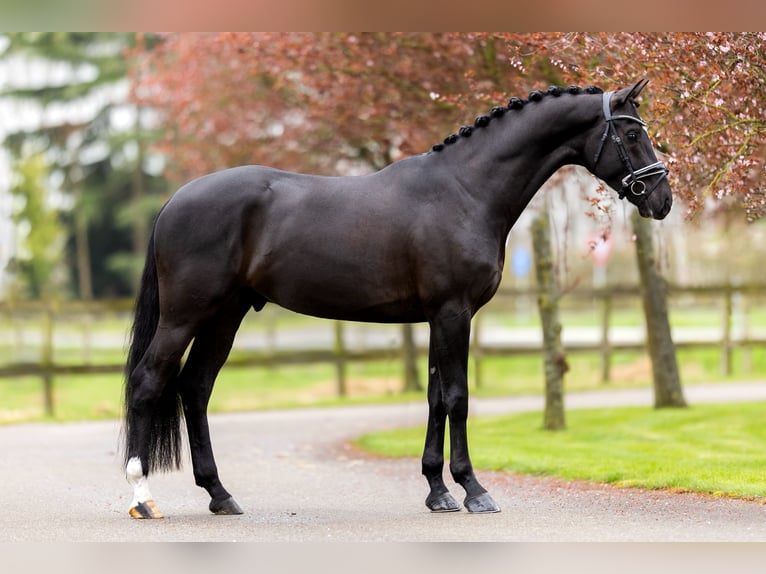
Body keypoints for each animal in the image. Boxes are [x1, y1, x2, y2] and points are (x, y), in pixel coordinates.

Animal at [122, 79, 672, 519]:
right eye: (631, 134)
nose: (662, 200)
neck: (465, 190)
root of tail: (175, 200)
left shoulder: (437, 318)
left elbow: (435, 398)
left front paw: (437, 491)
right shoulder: (452, 314)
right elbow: (458, 397)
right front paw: (474, 490)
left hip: (225, 316)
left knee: (195, 388)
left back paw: (220, 494)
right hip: (186, 314)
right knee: (150, 382)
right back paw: (143, 497)